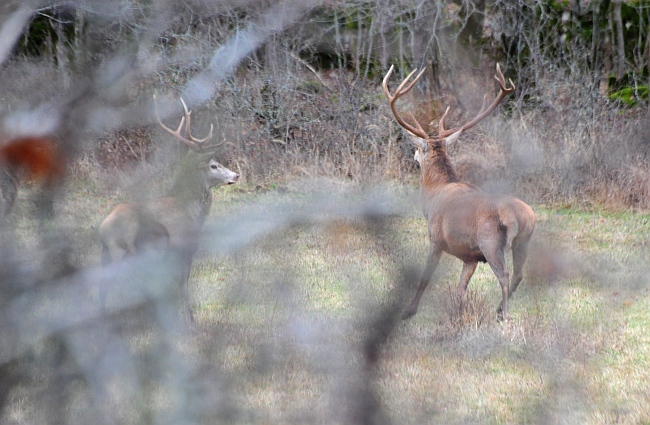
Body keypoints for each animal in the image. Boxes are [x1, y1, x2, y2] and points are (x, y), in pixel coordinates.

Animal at [101, 95, 240, 322]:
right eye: (213, 165)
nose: (236, 175)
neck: (190, 209)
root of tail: (105, 231)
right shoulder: (184, 246)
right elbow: (182, 282)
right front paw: (189, 318)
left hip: (109, 254)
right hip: (149, 249)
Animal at [382, 64, 536, 320]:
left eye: (419, 149)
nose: (413, 155)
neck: (433, 195)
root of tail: (523, 216)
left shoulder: (436, 238)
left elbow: (425, 278)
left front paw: (409, 311)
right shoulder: (470, 257)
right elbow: (461, 288)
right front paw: (462, 312)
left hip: (491, 241)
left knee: (504, 276)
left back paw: (504, 315)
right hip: (523, 241)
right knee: (519, 274)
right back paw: (497, 310)